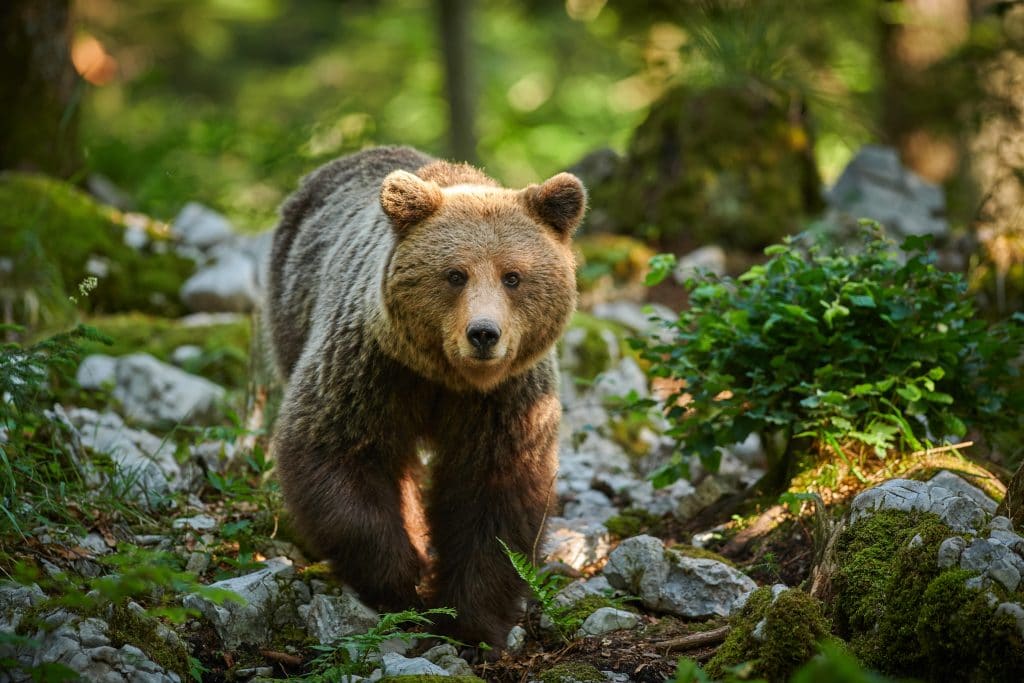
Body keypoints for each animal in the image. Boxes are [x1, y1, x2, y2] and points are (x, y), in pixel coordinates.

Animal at [264, 145, 585, 651]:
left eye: (513, 276)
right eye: (455, 274)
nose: (483, 334)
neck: (448, 378)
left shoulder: (506, 399)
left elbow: (495, 493)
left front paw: (473, 619)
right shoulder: (375, 369)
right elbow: (335, 451)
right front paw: (402, 580)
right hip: (291, 309)